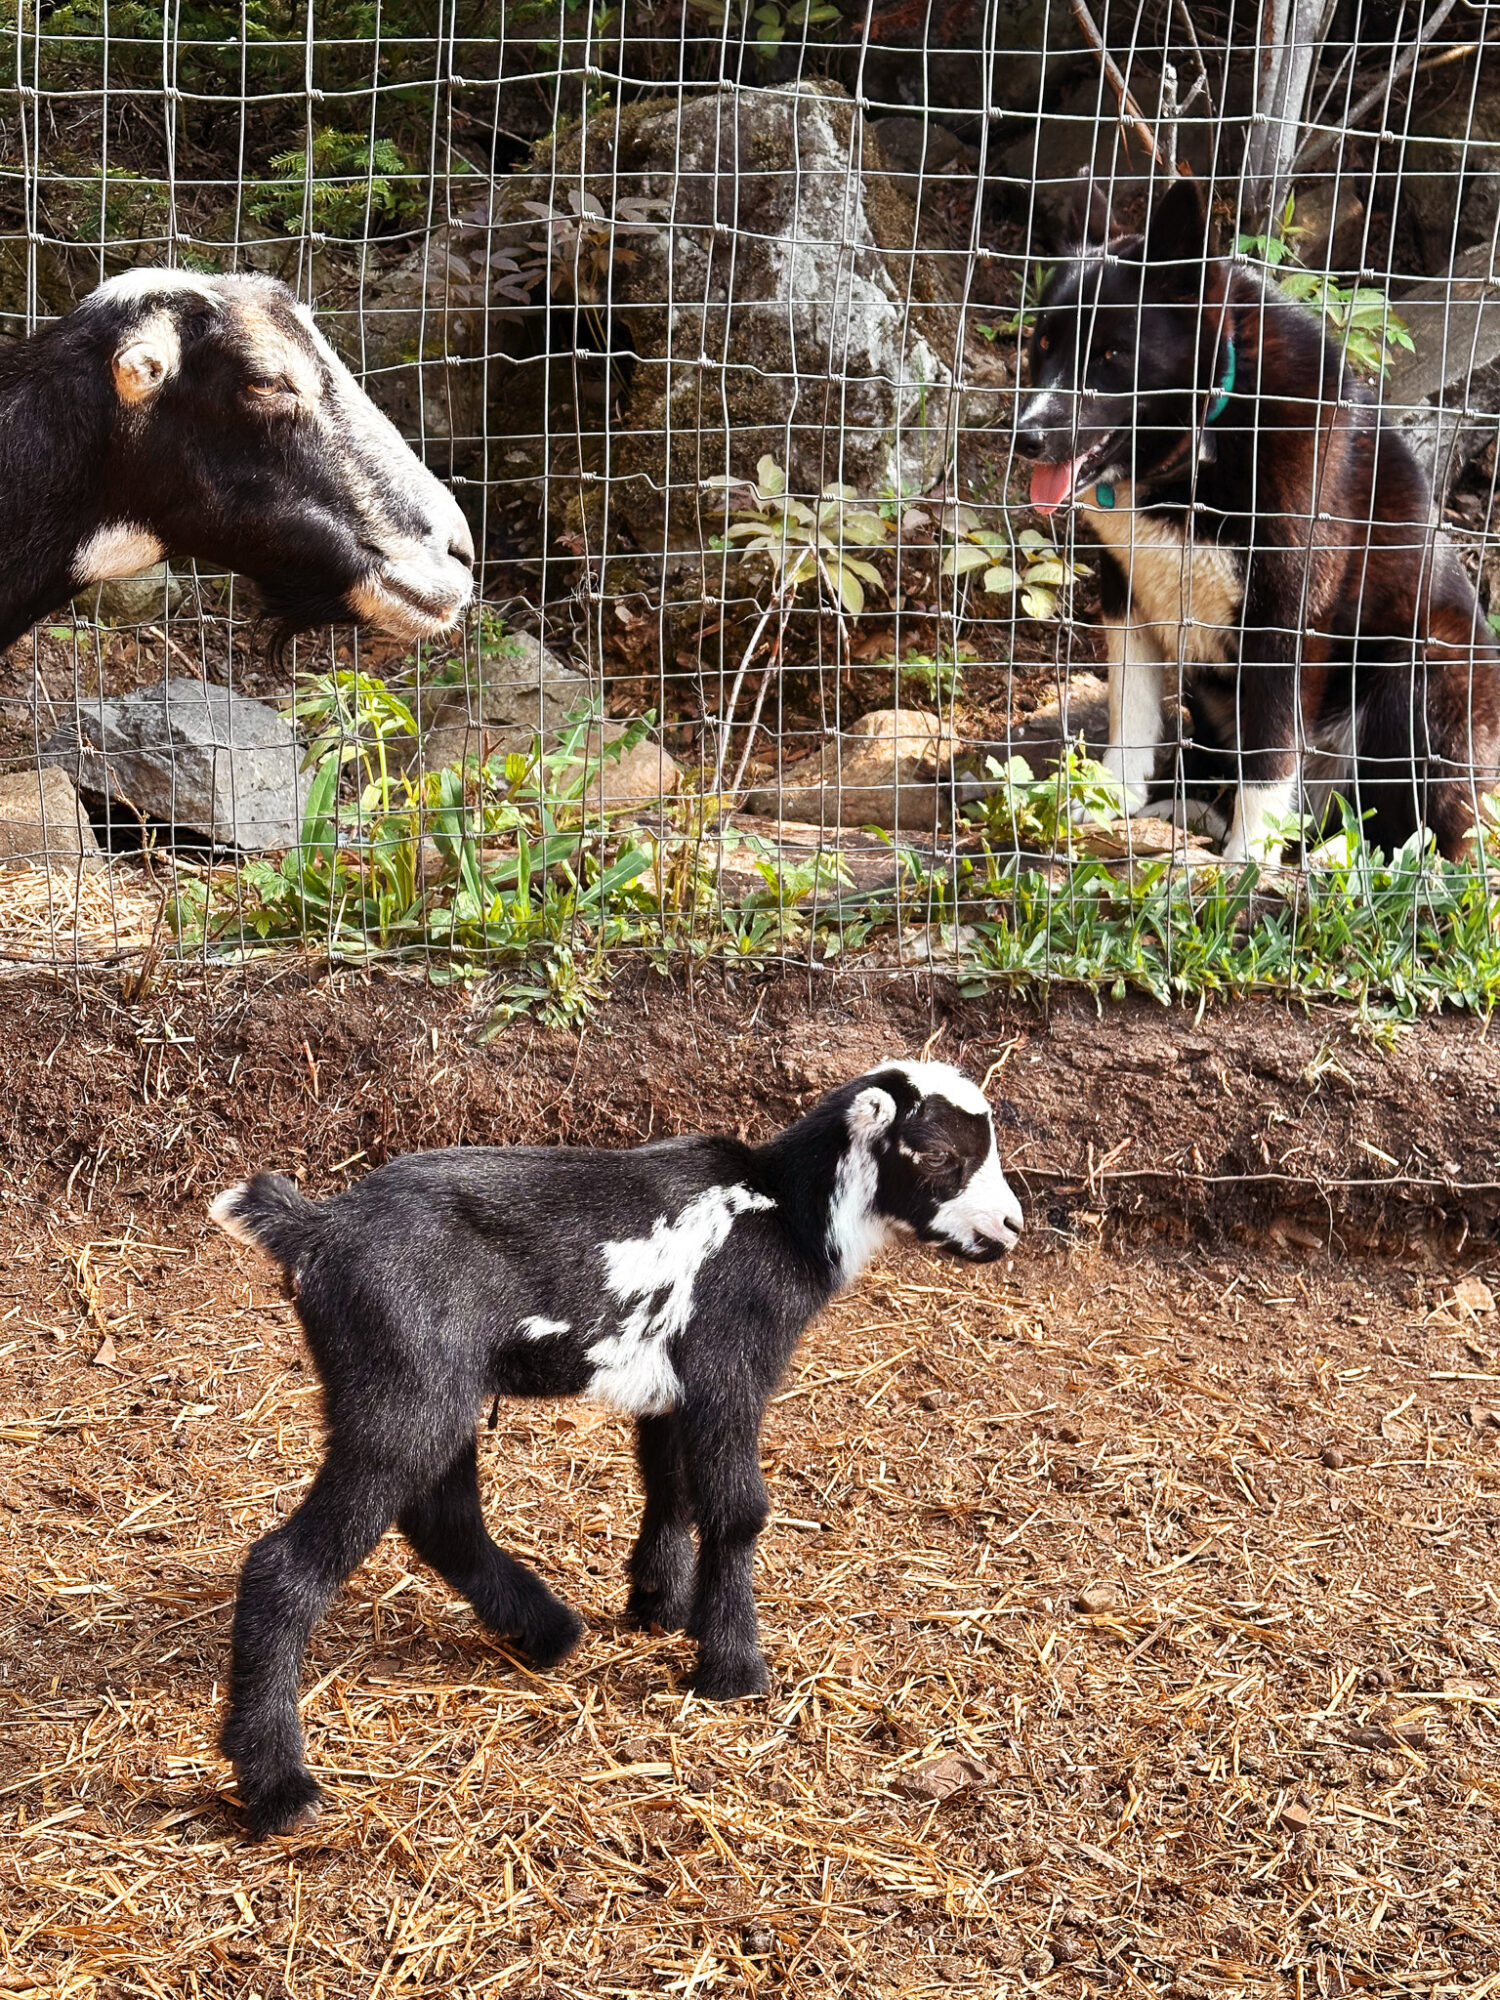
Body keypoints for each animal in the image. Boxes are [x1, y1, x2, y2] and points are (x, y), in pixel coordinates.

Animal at [209, 1060, 1023, 1837]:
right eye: (942, 1154)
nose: (1013, 1227)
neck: (783, 1212)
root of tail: (317, 1229)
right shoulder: (730, 1365)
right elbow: (738, 1511)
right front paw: (733, 1668)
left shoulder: (673, 1388)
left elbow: (671, 1487)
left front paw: (664, 1605)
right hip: (405, 1378)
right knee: (294, 1560)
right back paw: (279, 1787)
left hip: (421, 1382)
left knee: (443, 1516)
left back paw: (547, 1629)